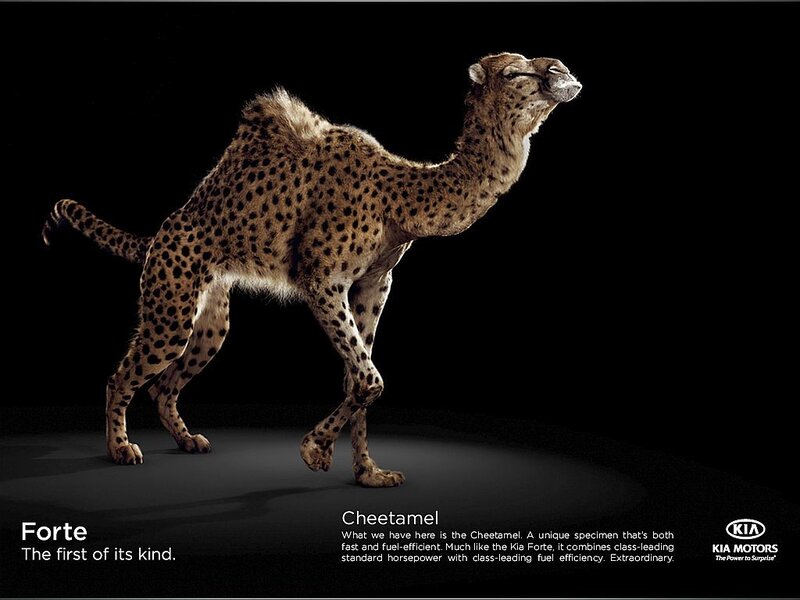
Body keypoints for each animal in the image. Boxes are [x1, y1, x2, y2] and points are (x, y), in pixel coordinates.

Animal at [42, 52, 581, 487]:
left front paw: (368, 474)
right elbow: (369, 379)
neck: (402, 193)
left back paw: (186, 440)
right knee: (122, 376)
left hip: (211, 322)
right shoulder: (322, 281)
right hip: (170, 311)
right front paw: (314, 452)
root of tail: (159, 233)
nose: (562, 70)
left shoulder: (374, 284)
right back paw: (119, 449)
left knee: (163, 383)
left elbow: (357, 378)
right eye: (515, 72)